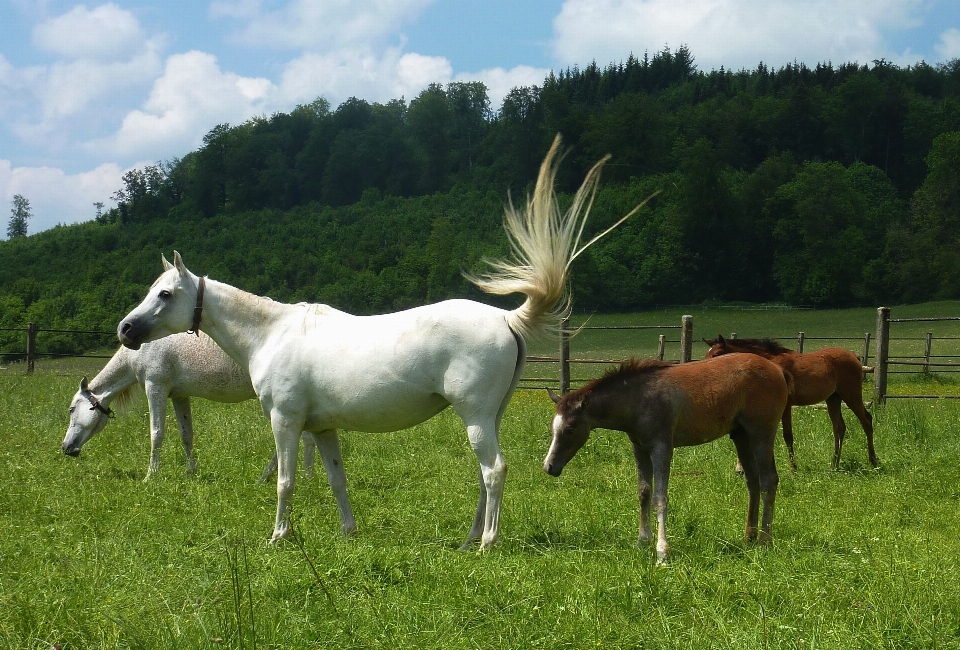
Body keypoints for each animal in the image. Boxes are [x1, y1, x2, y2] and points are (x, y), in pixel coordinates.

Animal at [60, 330, 352, 528]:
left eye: (72, 409)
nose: (66, 447)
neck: (143, 347)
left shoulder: (156, 387)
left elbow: (156, 433)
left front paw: (151, 476)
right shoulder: (179, 395)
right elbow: (186, 435)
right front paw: (191, 471)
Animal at [118, 137, 644, 548]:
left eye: (165, 294)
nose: (126, 331)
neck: (271, 333)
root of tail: (506, 318)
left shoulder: (285, 423)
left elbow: (286, 482)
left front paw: (279, 537)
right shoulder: (320, 429)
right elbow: (336, 480)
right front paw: (349, 532)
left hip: (475, 415)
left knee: (494, 470)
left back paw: (487, 543)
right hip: (489, 415)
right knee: (484, 474)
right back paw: (469, 537)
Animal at [544, 352, 792, 560]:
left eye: (570, 429)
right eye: (553, 426)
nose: (549, 466)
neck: (639, 399)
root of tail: (777, 370)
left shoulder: (662, 447)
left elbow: (660, 498)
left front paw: (662, 552)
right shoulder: (639, 448)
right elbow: (644, 492)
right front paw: (642, 542)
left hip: (761, 433)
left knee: (768, 480)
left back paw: (764, 540)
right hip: (741, 435)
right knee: (753, 481)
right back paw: (749, 537)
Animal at [700, 336, 872, 468]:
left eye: (716, 354)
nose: (704, 368)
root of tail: (854, 357)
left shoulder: (786, 405)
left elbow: (787, 436)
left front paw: (793, 468)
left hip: (851, 395)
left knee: (866, 420)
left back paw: (873, 460)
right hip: (833, 399)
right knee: (839, 427)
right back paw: (834, 464)